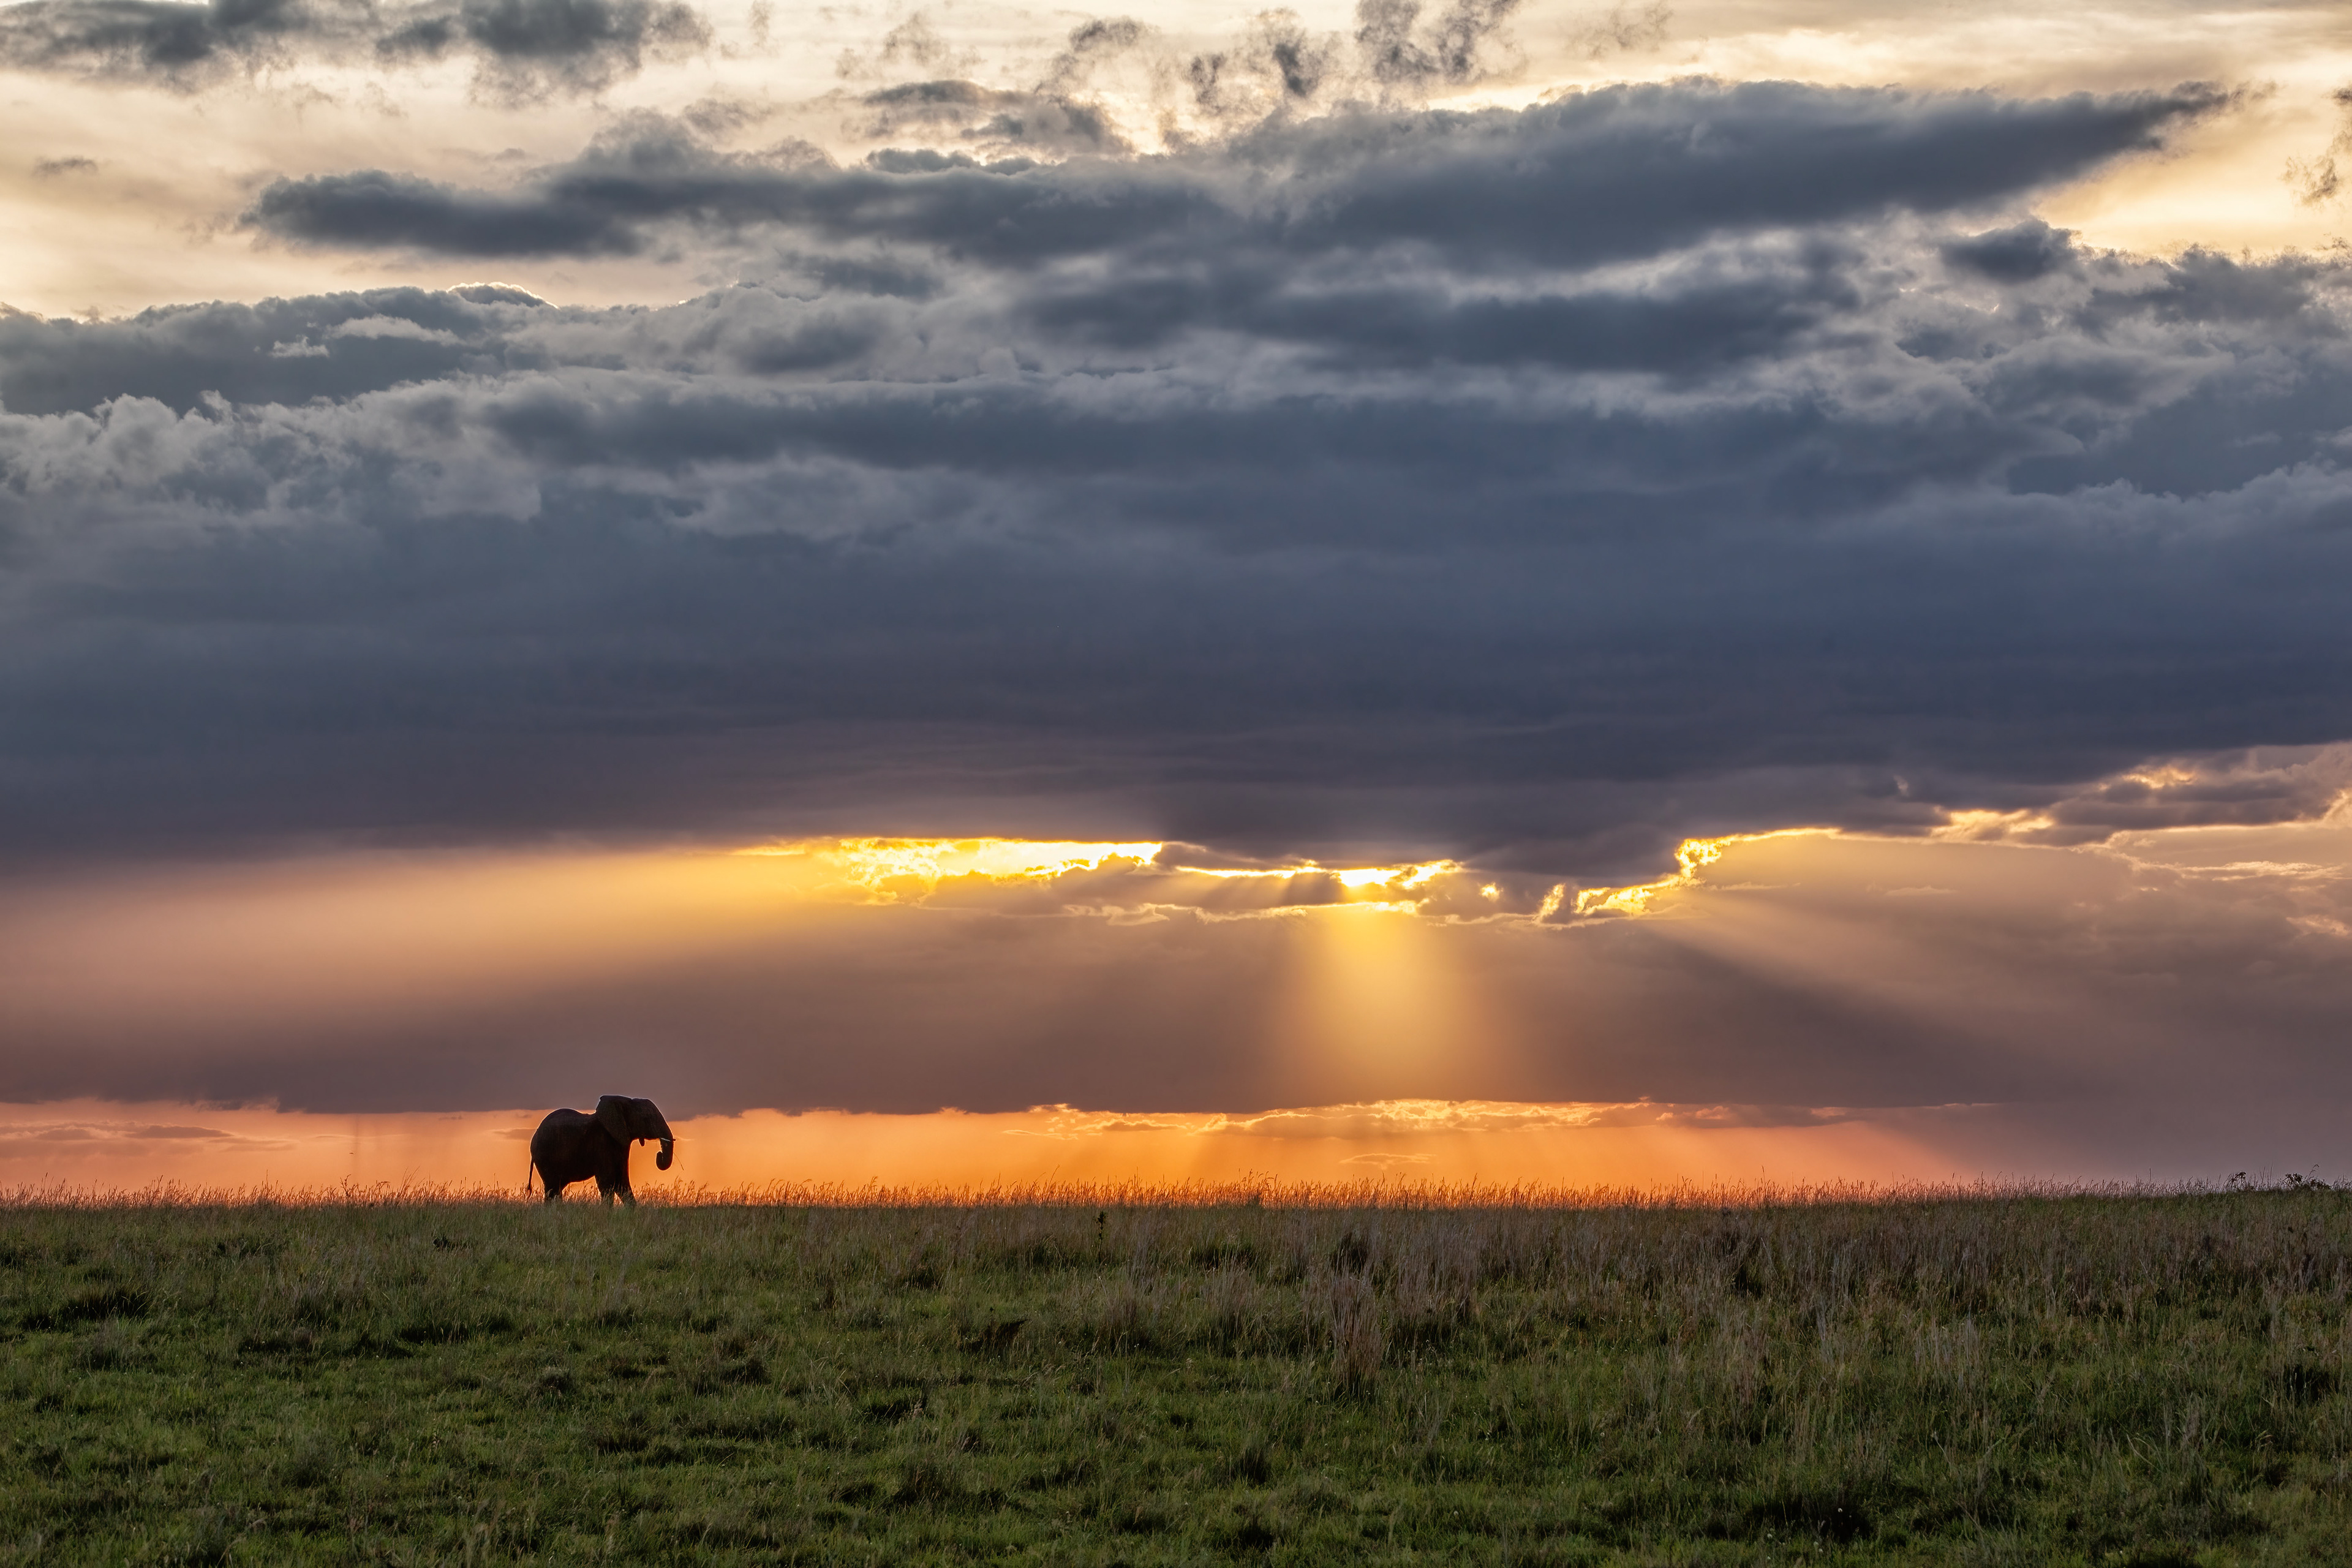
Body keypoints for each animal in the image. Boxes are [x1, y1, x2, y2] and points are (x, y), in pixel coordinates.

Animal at [526, 1096, 675, 1206]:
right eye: (647, 1118)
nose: (659, 1155)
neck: (625, 1102)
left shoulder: (621, 1143)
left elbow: (622, 1180)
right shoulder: (602, 1142)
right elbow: (608, 1181)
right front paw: (607, 1212)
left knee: (556, 1188)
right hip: (544, 1157)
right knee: (552, 1188)